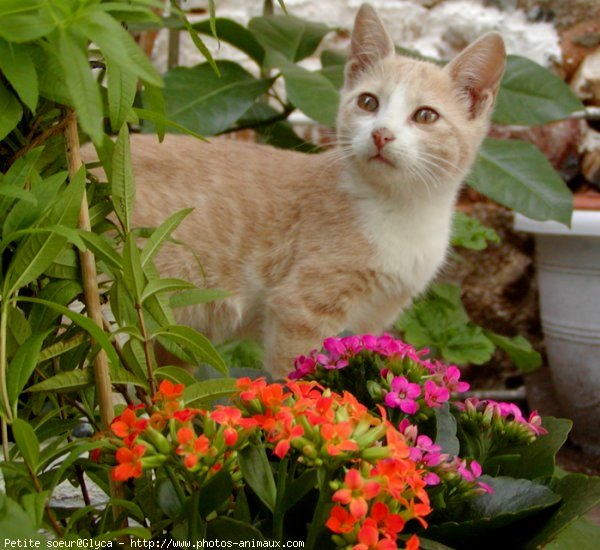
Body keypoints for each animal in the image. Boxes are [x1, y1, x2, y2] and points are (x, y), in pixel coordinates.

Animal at [126, 3, 506, 380]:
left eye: (426, 116)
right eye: (368, 103)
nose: (381, 133)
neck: (401, 209)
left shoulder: (374, 317)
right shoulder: (299, 311)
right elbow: (295, 379)